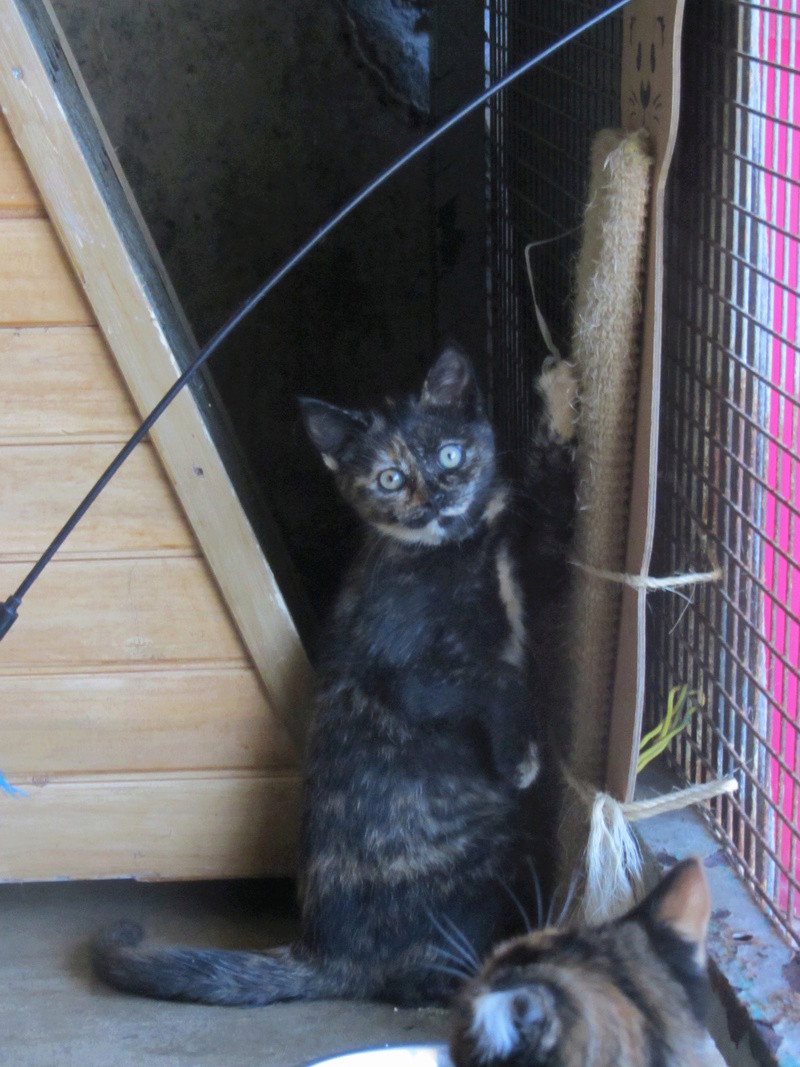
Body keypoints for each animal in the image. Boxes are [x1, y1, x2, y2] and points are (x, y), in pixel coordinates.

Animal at [93, 347, 580, 1007]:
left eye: (450, 455)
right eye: (390, 479)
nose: (434, 501)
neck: (457, 545)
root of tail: (324, 952)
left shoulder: (523, 568)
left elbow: (545, 522)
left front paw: (559, 415)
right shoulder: (398, 668)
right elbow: (491, 677)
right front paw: (521, 756)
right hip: (488, 856)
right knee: (423, 977)